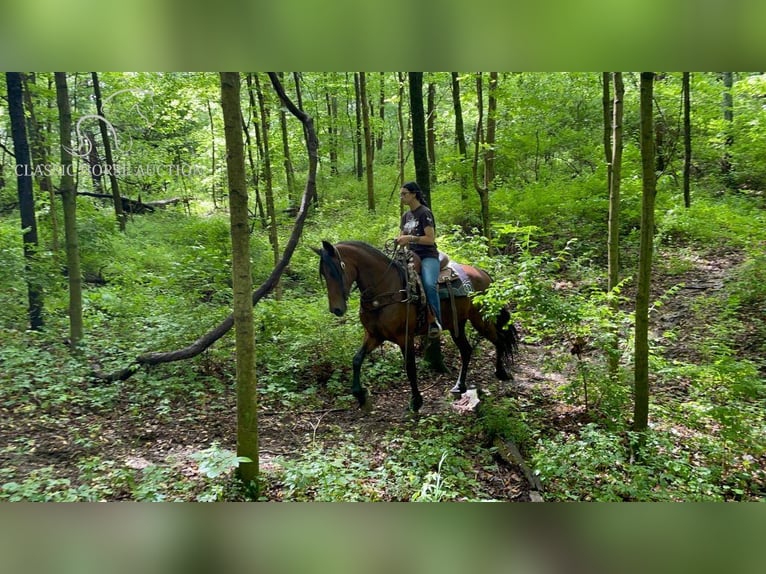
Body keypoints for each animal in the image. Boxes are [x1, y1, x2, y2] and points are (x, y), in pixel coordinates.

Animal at [314, 240, 520, 414]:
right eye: (323, 274)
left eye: (337, 270)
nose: (336, 309)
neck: (384, 290)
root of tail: (482, 273)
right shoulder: (374, 335)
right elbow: (357, 360)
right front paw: (360, 395)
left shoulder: (404, 337)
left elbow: (410, 367)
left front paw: (416, 401)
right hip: (457, 324)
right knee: (467, 350)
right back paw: (459, 385)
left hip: (480, 319)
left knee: (499, 340)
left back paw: (501, 372)